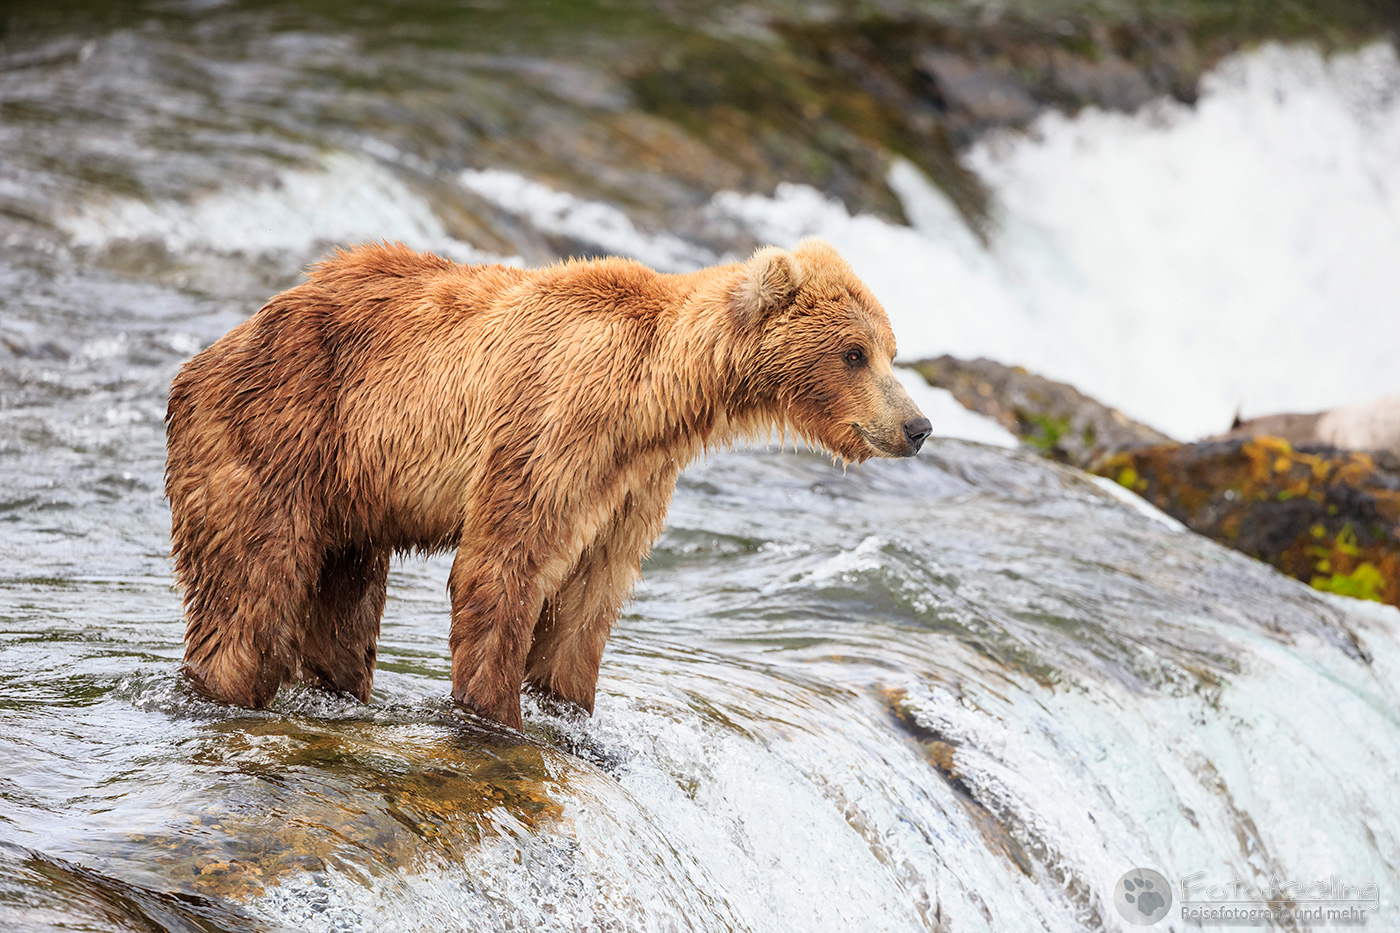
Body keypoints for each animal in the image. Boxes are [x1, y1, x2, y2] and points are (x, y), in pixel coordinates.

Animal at [165, 239, 931, 728]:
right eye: (854, 353)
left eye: (892, 349)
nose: (917, 425)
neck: (655, 401)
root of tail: (210, 352)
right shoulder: (557, 421)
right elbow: (505, 564)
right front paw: (496, 713)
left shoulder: (633, 481)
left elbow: (591, 594)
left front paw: (569, 708)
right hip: (279, 435)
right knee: (251, 585)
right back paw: (224, 685)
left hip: (352, 497)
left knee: (344, 603)